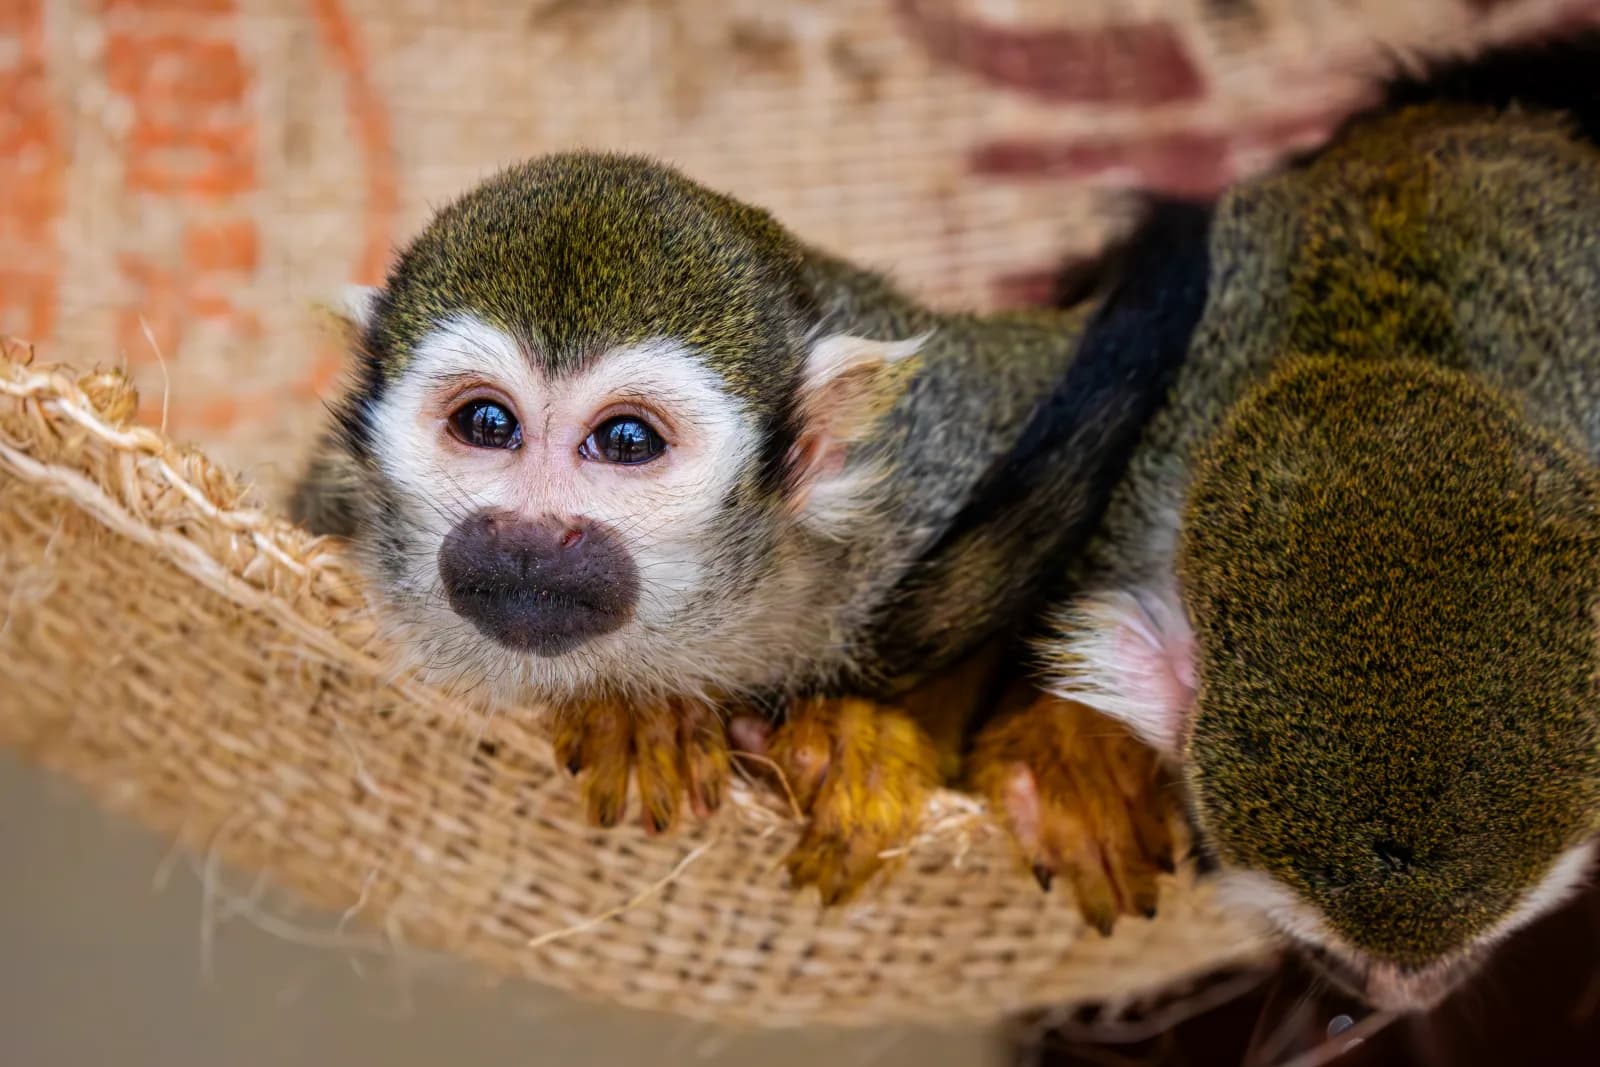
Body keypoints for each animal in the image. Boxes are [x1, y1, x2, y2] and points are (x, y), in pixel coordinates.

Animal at [288, 150, 1202, 918]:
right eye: (486, 424)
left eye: (627, 440)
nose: (530, 535)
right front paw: (641, 713)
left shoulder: (937, 447)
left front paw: (1054, 744)